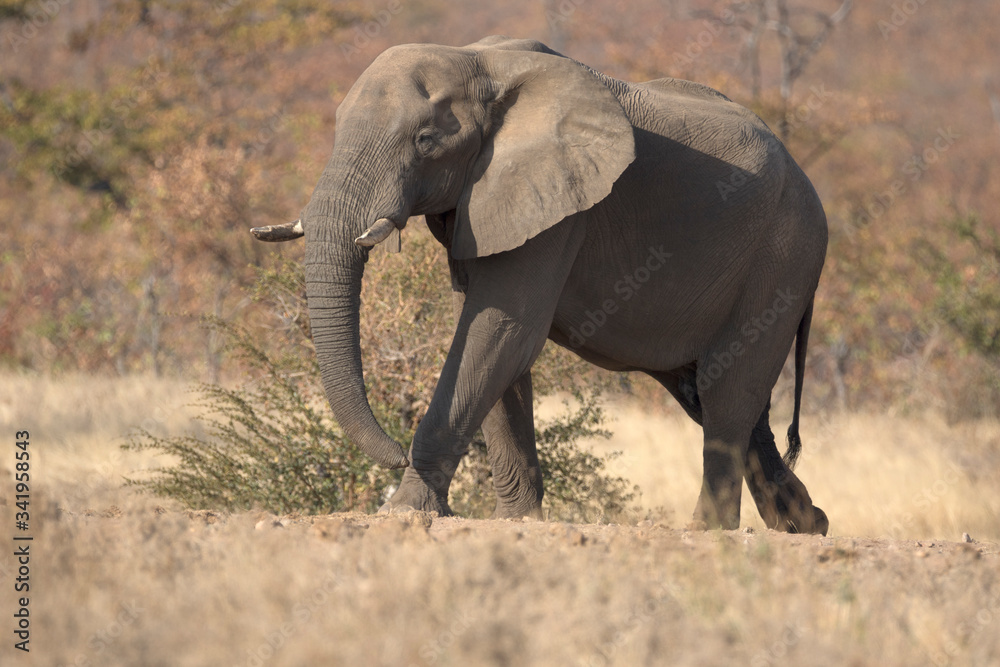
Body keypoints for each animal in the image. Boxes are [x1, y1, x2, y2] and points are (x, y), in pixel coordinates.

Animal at [251, 35, 829, 534]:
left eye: (425, 141)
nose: (394, 451)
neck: (476, 61)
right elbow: (492, 340)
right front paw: (519, 519)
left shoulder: (562, 205)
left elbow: (499, 330)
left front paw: (405, 511)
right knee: (713, 397)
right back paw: (806, 524)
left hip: (784, 255)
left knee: (726, 389)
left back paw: (711, 530)